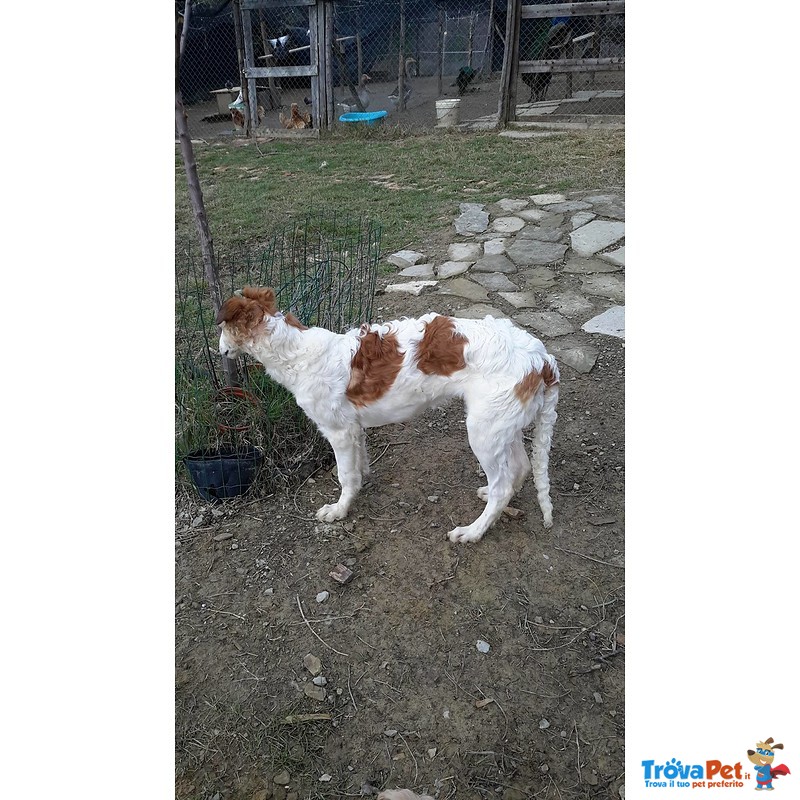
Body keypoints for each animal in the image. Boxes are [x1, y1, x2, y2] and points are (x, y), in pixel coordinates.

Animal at [216, 286, 560, 544]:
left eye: (222, 328)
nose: (219, 351)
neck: (297, 352)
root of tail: (542, 358)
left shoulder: (338, 431)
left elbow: (345, 475)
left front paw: (339, 510)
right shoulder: (354, 429)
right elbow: (358, 467)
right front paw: (359, 485)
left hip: (483, 431)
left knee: (503, 485)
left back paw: (473, 531)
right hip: (502, 426)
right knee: (517, 470)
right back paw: (490, 495)